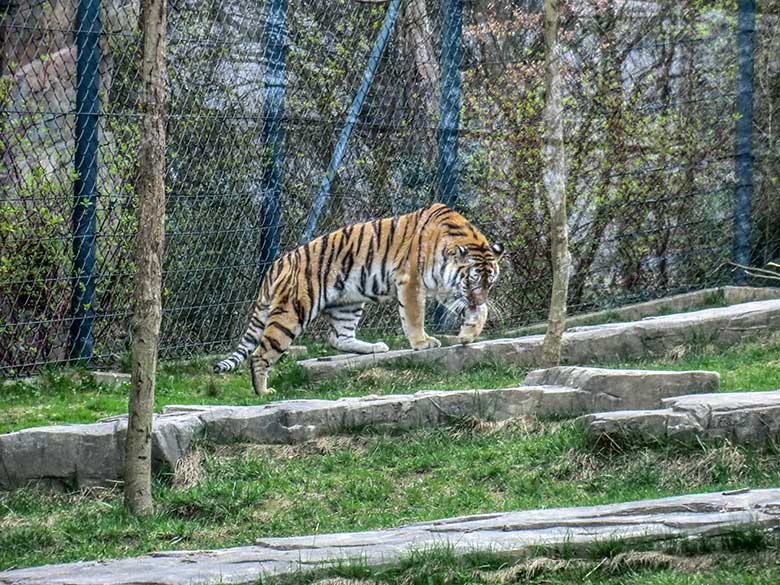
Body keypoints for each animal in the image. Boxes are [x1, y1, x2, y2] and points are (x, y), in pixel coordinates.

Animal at [213, 203, 506, 394]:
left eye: (489, 282)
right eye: (472, 279)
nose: (480, 298)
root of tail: (277, 264)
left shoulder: (447, 288)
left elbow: (477, 313)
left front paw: (469, 333)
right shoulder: (410, 280)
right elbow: (414, 316)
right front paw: (422, 342)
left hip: (348, 303)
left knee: (338, 338)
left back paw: (375, 347)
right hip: (293, 312)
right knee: (260, 354)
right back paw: (263, 392)